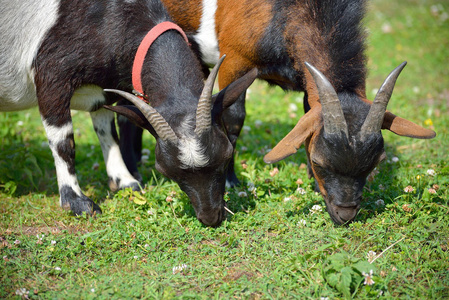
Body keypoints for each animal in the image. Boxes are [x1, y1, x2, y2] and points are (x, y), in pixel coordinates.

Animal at [0, 0, 256, 225]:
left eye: (227, 154)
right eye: (165, 170)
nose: (211, 218)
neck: (107, 15)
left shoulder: (101, 90)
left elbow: (108, 133)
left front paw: (124, 181)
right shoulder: (51, 78)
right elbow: (64, 144)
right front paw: (77, 203)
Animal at [121, 0, 436, 225]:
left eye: (376, 163)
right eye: (320, 161)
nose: (345, 215)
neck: (287, 11)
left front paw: (312, 183)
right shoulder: (235, 60)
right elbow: (233, 119)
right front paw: (231, 180)